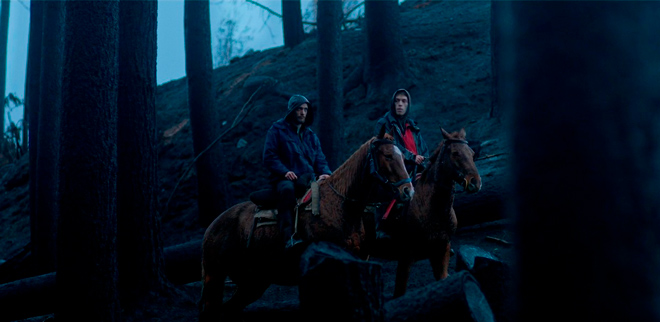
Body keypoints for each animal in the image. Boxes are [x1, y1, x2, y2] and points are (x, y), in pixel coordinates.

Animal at [199, 132, 412, 320]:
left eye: (402, 156)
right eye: (388, 155)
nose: (407, 191)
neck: (340, 206)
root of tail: (212, 227)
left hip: (253, 283)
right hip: (214, 277)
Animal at [366, 127, 480, 298]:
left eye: (472, 153)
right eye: (455, 153)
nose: (475, 182)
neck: (432, 208)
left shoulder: (441, 251)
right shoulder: (406, 257)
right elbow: (399, 293)